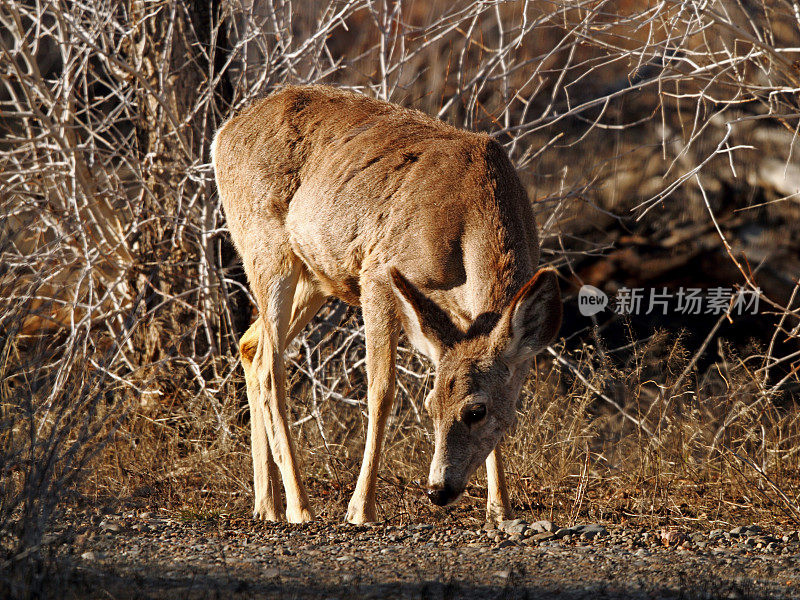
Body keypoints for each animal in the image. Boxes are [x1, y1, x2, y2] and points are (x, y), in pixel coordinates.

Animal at [212, 84, 564, 524]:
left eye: (475, 411)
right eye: (430, 407)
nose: (438, 490)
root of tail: (222, 134)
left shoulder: (463, 317)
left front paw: (500, 509)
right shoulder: (377, 272)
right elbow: (381, 391)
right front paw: (360, 508)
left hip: (316, 276)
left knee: (250, 344)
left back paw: (266, 504)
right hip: (267, 249)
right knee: (269, 366)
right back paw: (298, 506)